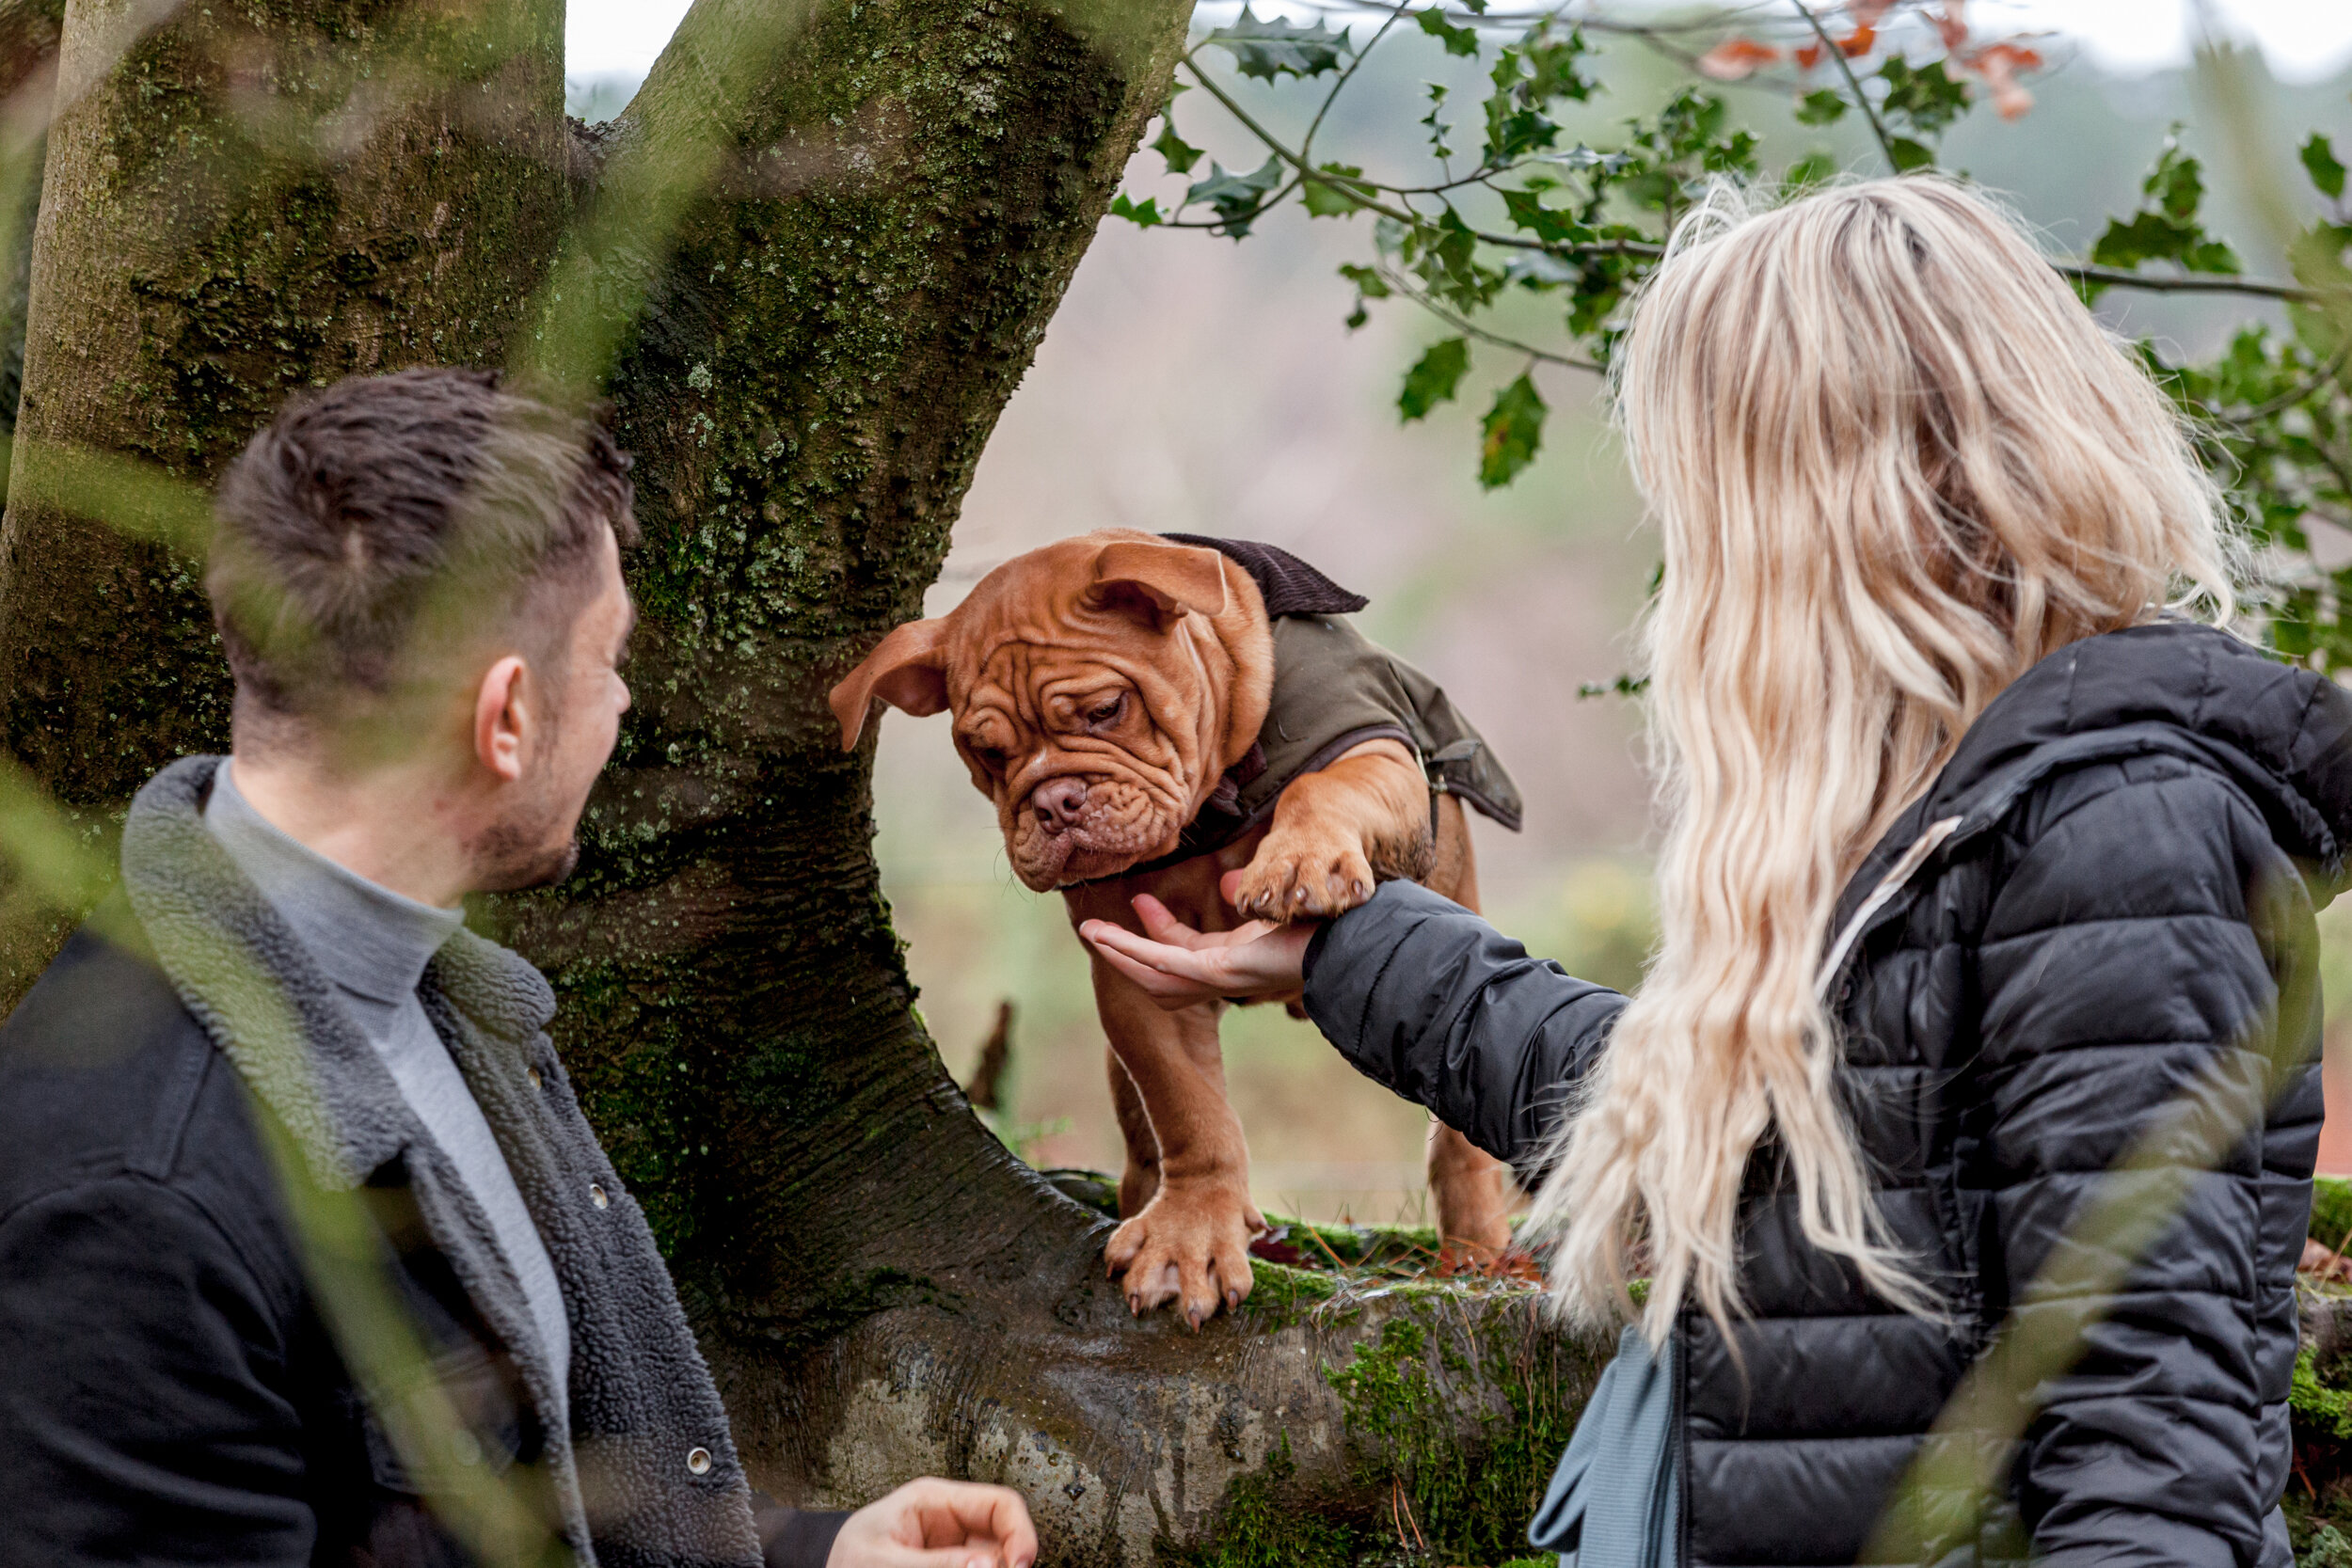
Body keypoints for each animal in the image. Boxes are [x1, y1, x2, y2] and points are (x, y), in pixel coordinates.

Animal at [833, 531, 1524, 1325]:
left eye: (1106, 709)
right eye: (989, 753)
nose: (1055, 801)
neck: (1212, 801)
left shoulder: (1375, 759)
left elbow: (1321, 786)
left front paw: (1298, 858)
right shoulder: (1136, 977)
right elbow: (1186, 1107)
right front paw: (1189, 1237)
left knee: (1459, 1133)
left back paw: (1476, 1256)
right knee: (1144, 1136)